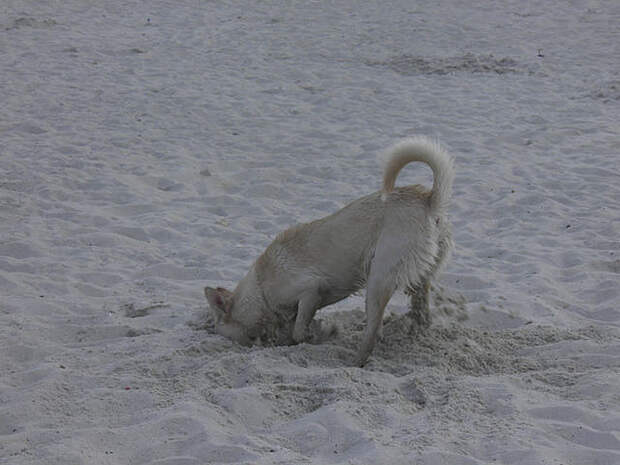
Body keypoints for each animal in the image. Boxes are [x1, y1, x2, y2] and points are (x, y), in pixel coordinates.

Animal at [206, 136, 452, 364]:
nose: (263, 345)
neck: (260, 289)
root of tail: (429, 201)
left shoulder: (310, 291)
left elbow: (299, 330)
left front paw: (320, 334)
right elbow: (295, 329)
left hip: (378, 280)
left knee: (372, 332)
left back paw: (356, 362)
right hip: (414, 277)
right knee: (418, 313)